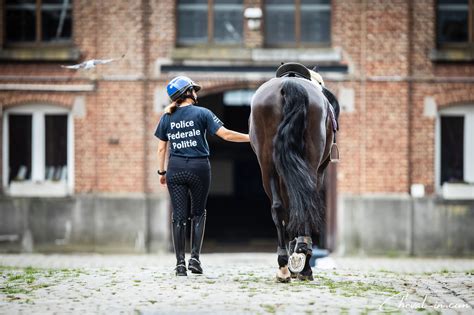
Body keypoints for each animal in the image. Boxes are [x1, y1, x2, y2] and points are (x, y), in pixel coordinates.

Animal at [250, 72, 338, 284]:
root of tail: (290, 83)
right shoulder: (319, 172)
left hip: (268, 165)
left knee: (278, 207)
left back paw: (284, 264)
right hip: (309, 165)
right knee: (302, 203)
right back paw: (301, 263)